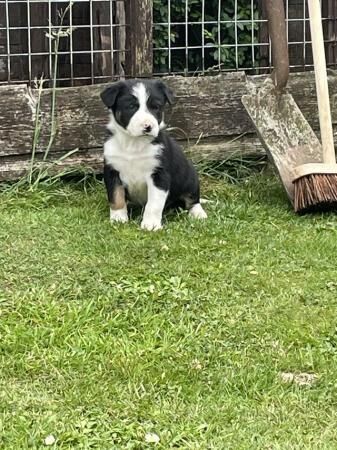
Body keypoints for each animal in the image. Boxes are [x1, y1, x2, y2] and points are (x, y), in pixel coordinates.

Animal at [100, 78, 206, 230]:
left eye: (155, 107)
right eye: (131, 106)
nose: (148, 126)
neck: (133, 144)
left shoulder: (159, 175)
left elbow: (153, 204)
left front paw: (151, 225)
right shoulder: (112, 171)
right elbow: (116, 197)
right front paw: (118, 219)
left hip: (190, 178)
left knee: (193, 199)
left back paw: (199, 214)